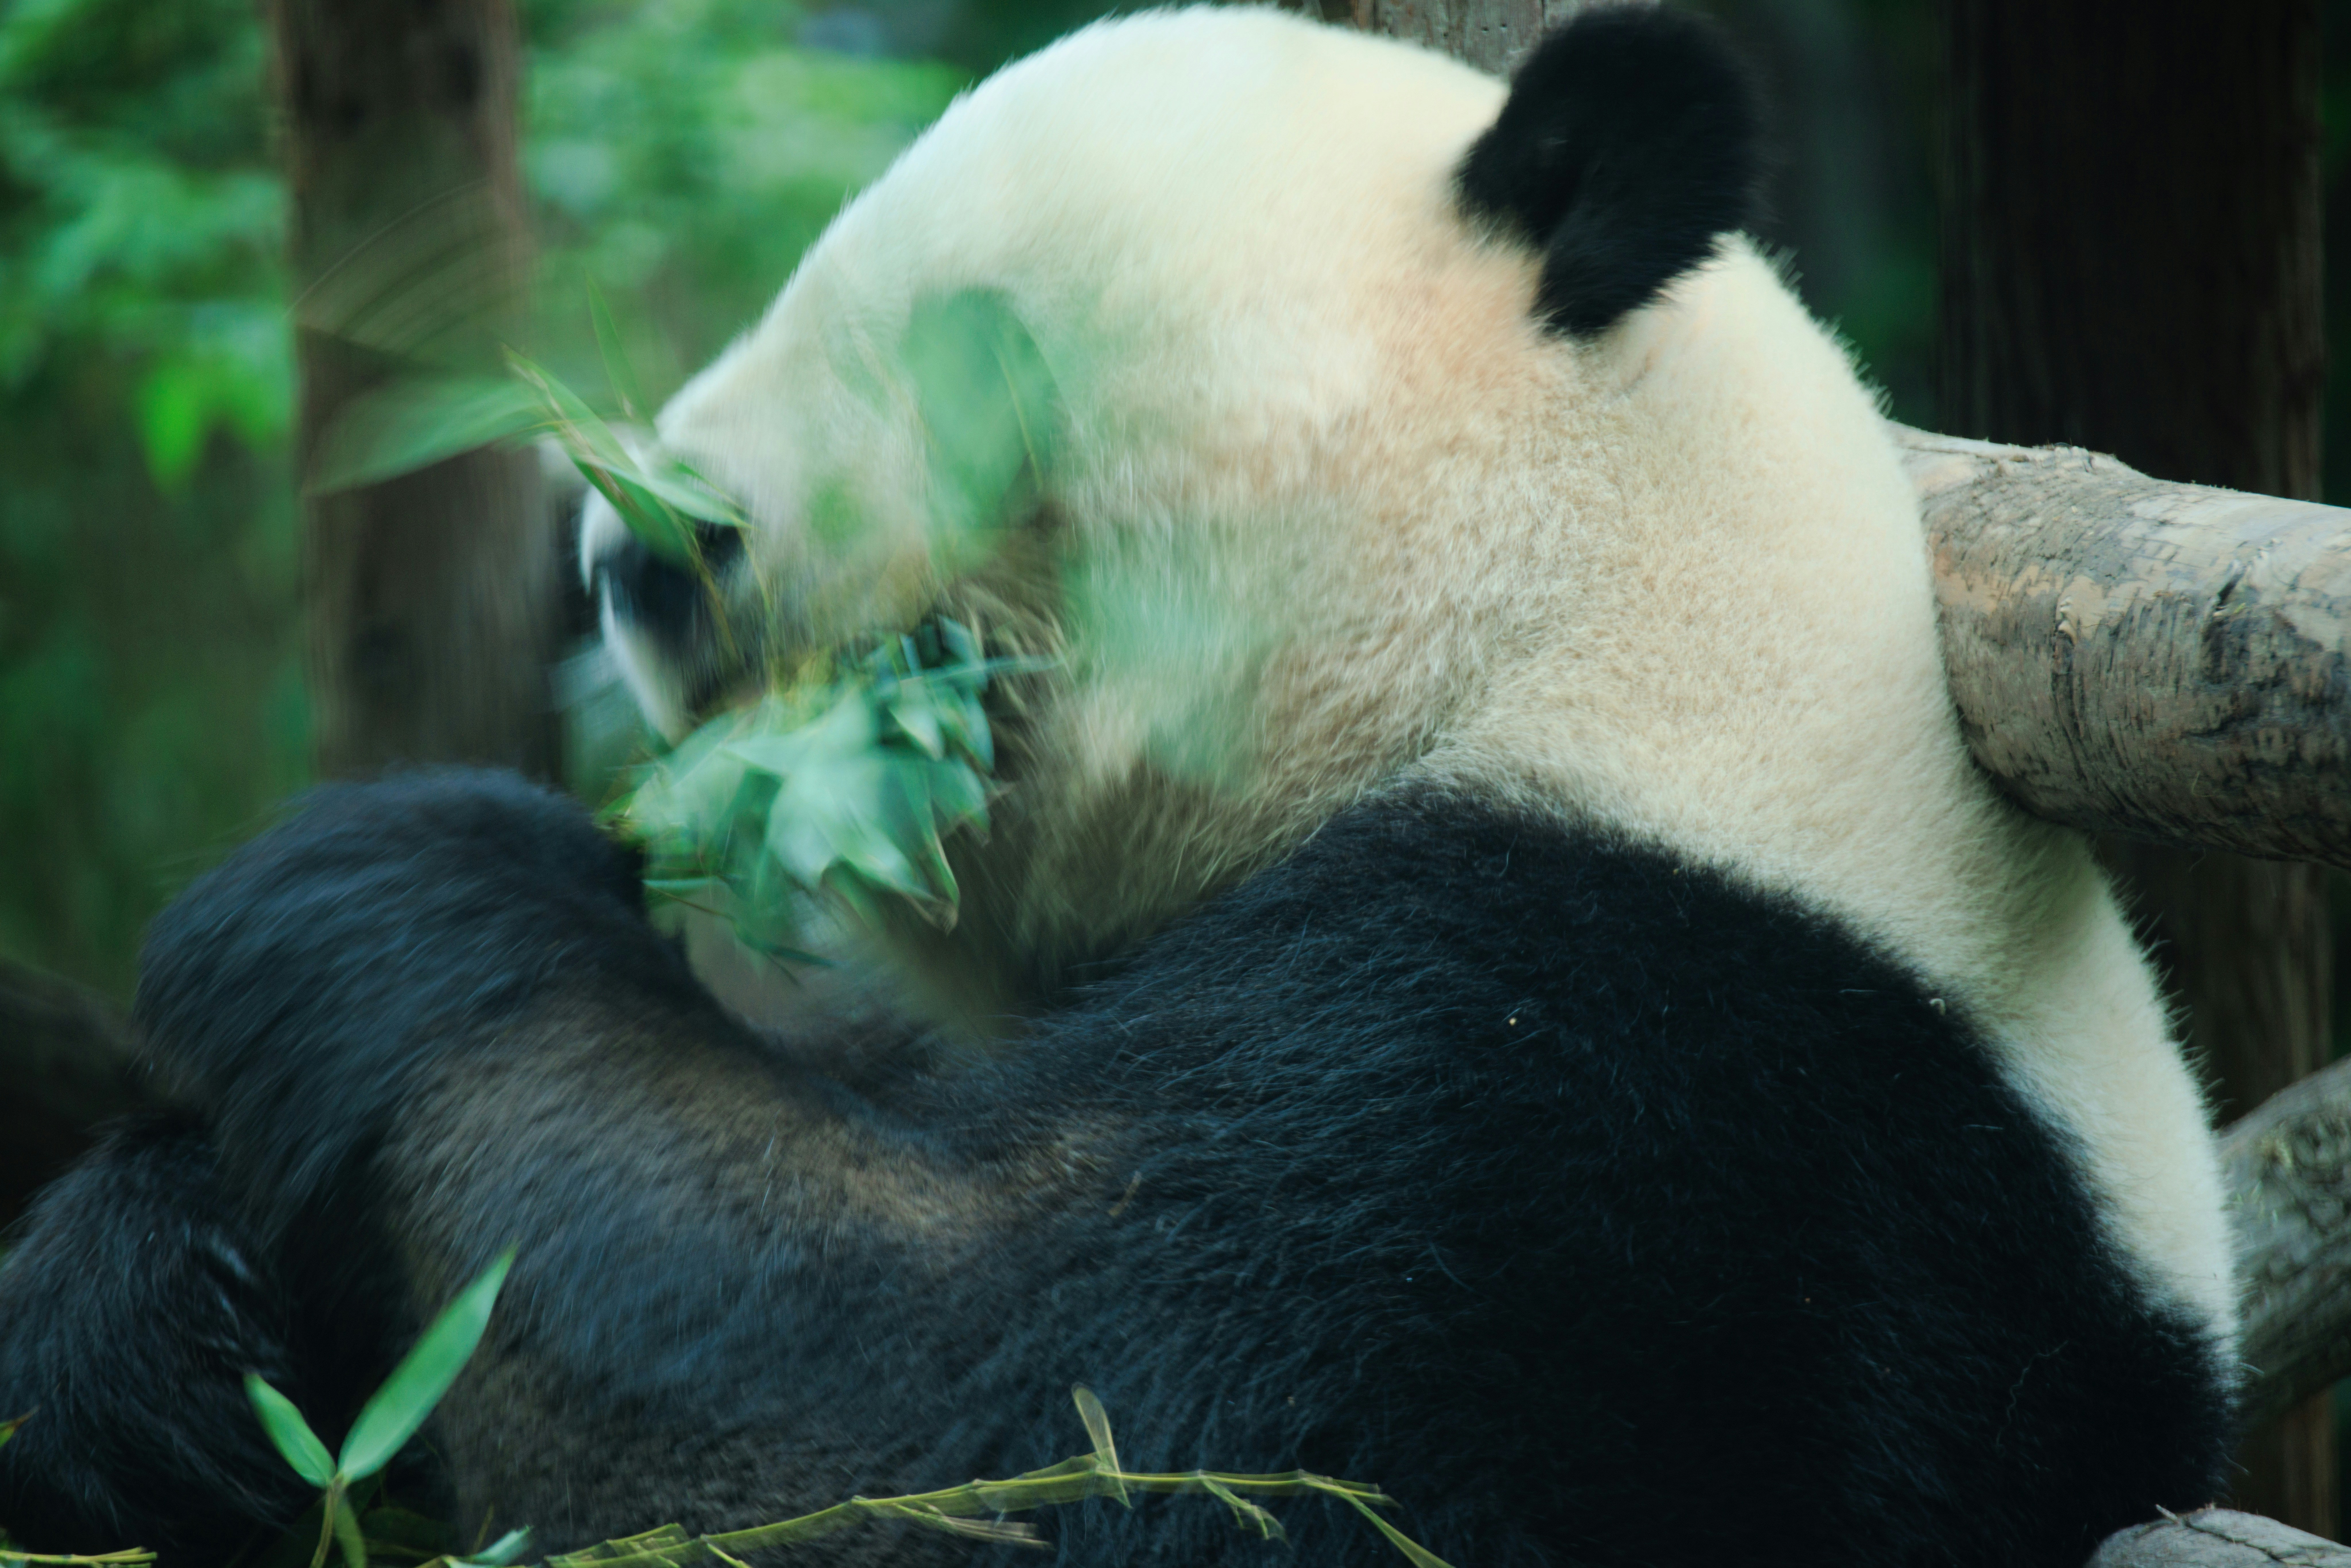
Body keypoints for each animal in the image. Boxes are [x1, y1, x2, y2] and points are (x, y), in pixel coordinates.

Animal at [0, 8, 2235, 1568]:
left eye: (965, 343)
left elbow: (969, 1428)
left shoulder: (1646, 1104)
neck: (1567, 625)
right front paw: (161, 1327)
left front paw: (376, 886)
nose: (647, 550)